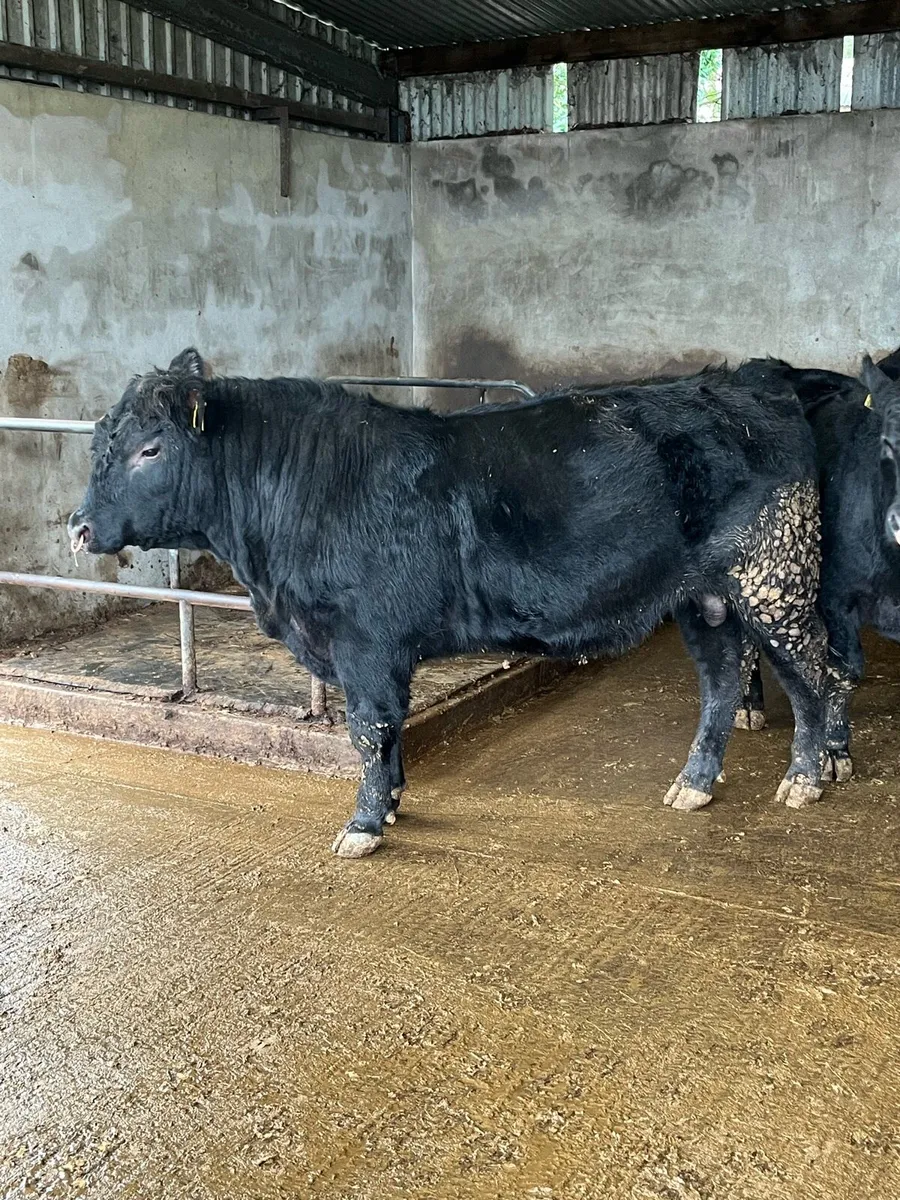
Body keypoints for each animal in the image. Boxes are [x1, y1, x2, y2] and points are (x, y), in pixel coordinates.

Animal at [68, 350, 831, 858]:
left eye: (149, 449)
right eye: (100, 441)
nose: (77, 527)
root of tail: (741, 380)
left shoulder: (364, 641)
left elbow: (369, 729)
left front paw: (363, 825)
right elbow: (390, 731)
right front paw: (391, 807)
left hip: (776, 576)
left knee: (814, 671)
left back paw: (810, 775)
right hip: (704, 596)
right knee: (722, 679)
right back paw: (696, 782)